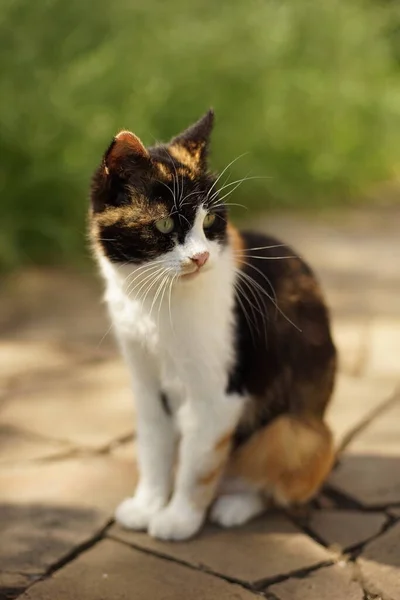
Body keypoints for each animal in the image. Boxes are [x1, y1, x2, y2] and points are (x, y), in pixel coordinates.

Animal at [89, 110, 336, 540]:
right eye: (166, 225)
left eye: (212, 221)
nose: (201, 257)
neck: (155, 303)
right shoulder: (145, 383)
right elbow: (152, 448)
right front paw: (147, 506)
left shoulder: (217, 398)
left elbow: (198, 465)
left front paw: (178, 519)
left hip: (297, 432)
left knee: (276, 477)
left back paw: (234, 505)